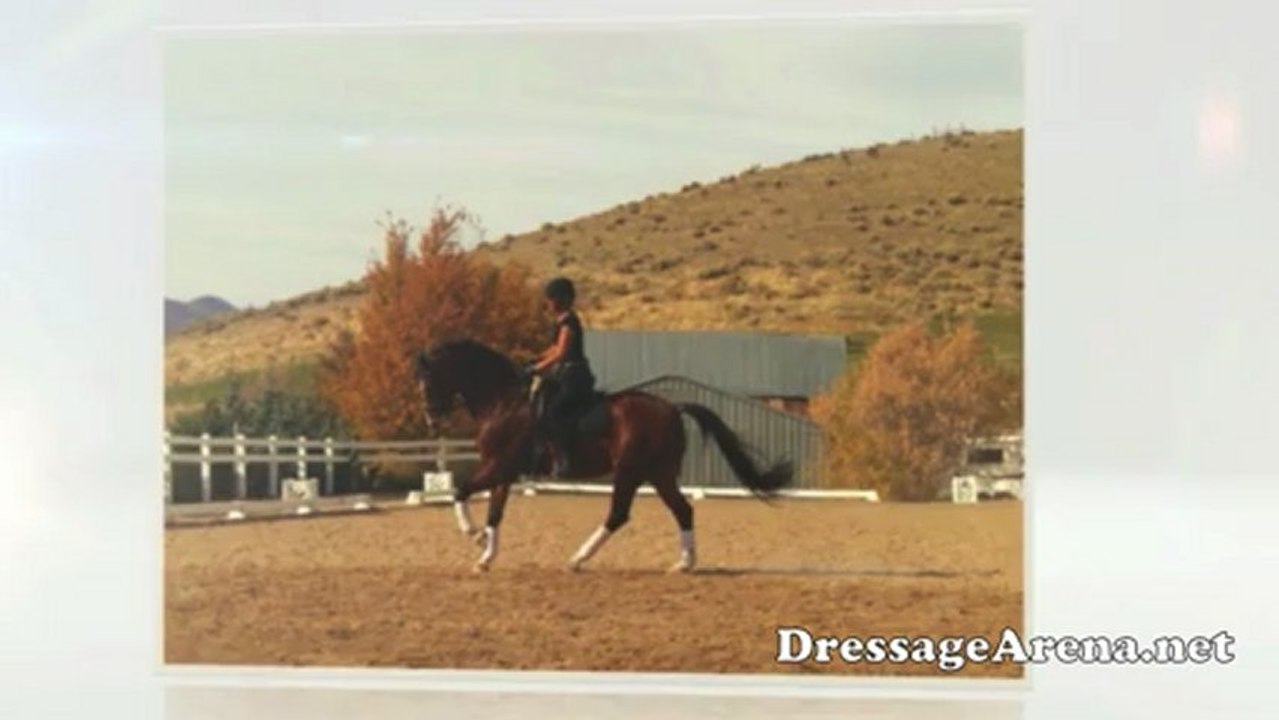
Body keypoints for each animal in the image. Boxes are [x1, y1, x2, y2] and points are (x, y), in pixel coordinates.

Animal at [413, 339, 793, 573]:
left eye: (429, 382)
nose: (431, 421)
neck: (503, 401)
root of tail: (672, 408)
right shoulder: (503, 472)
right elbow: (494, 513)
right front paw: (485, 556)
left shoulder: (499, 466)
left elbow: (459, 490)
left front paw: (473, 535)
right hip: (658, 473)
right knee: (682, 510)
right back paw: (684, 564)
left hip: (630, 471)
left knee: (619, 514)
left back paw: (578, 559)